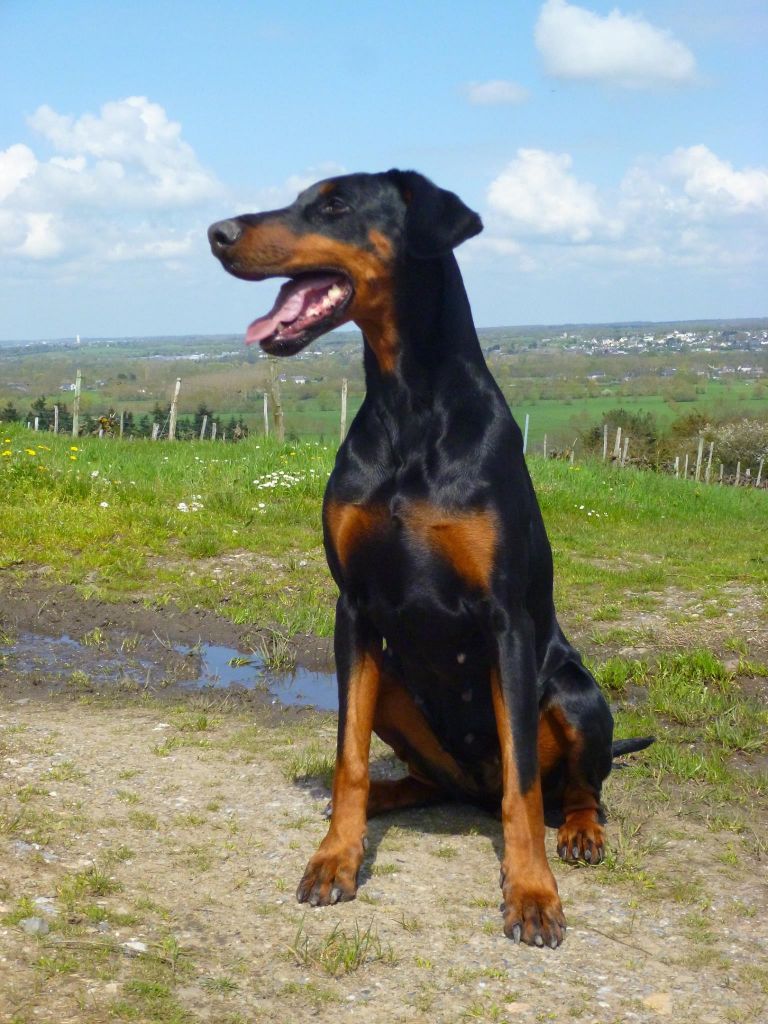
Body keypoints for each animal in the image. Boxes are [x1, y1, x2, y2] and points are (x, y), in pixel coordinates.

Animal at [207, 172, 651, 946]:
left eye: (334, 204)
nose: (217, 234)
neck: (408, 404)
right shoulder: (352, 609)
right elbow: (348, 756)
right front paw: (335, 856)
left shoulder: (507, 620)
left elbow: (523, 787)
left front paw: (532, 892)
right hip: (391, 687)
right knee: (421, 781)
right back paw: (372, 803)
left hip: (575, 693)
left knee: (575, 788)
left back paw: (580, 832)